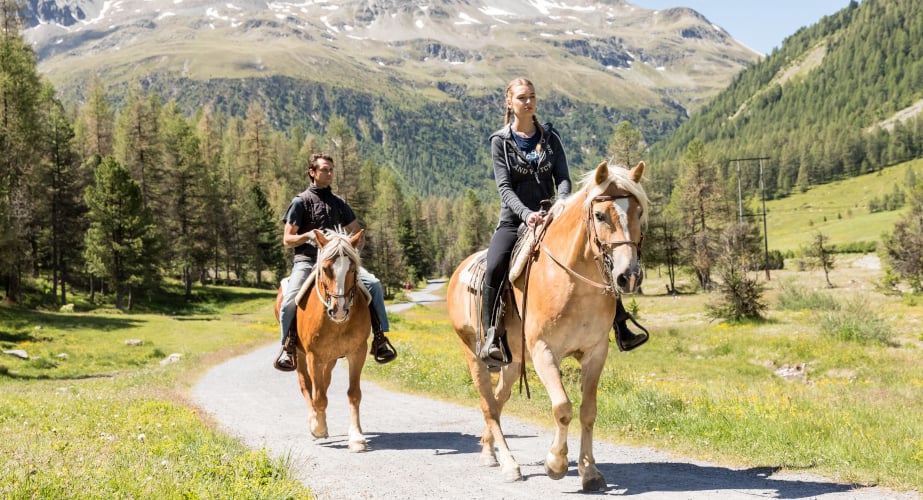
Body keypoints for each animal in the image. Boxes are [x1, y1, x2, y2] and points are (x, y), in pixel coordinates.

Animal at [274, 228, 372, 452]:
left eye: (352, 269)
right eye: (326, 269)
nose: (339, 310)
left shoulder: (357, 352)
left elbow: (353, 393)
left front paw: (356, 436)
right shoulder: (313, 356)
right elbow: (317, 396)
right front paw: (317, 428)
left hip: (331, 358)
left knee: (324, 384)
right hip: (300, 355)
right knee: (307, 386)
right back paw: (314, 421)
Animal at [446, 160, 650, 490]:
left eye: (638, 211)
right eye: (600, 215)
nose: (628, 276)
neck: (572, 283)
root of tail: (459, 271)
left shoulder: (596, 352)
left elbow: (588, 411)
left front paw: (589, 472)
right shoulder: (544, 351)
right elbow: (563, 408)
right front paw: (556, 463)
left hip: (513, 361)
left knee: (498, 401)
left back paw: (489, 451)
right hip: (473, 353)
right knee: (488, 405)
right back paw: (509, 464)